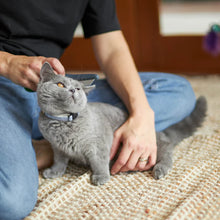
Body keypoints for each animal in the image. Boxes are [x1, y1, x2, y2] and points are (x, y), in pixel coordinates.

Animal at [37, 62, 207, 186]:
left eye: (78, 88)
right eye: (60, 85)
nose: (73, 90)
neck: (63, 121)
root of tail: (160, 132)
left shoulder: (99, 144)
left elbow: (99, 161)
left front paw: (101, 176)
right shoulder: (57, 147)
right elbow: (59, 161)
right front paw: (54, 172)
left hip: (154, 148)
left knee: (166, 152)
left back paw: (160, 169)